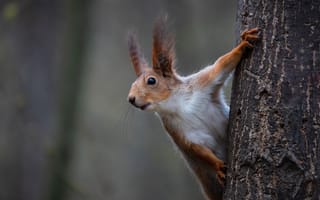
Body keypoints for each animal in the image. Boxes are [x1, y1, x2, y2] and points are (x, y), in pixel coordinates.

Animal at [126, 16, 258, 200]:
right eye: (132, 85)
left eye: (151, 81)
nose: (130, 99)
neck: (177, 103)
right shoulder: (179, 131)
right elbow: (196, 148)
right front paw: (217, 165)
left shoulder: (203, 82)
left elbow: (221, 65)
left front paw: (243, 43)